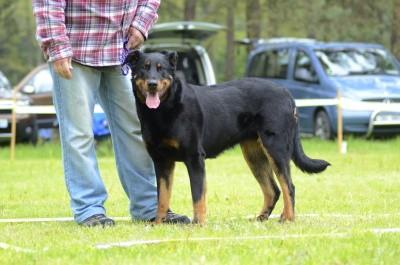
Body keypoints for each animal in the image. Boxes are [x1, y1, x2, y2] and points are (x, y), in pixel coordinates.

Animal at [123, 50, 330, 224]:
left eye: (161, 69)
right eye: (144, 68)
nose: (152, 84)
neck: (162, 111)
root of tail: (287, 94)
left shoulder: (194, 158)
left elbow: (197, 196)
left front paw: (198, 224)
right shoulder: (161, 161)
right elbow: (162, 197)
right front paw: (159, 224)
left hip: (275, 147)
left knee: (289, 187)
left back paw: (288, 218)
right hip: (254, 155)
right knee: (273, 190)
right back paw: (261, 218)